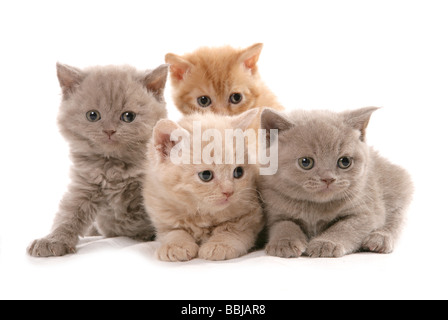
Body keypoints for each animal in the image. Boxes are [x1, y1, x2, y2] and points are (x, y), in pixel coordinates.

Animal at [27, 63, 169, 258]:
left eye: (128, 116)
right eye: (92, 115)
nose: (109, 130)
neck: (115, 166)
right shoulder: (85, 185)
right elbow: (69, 215)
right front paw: (53, 240)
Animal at [143, 109, 262, 260]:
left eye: (238, 172)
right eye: (206, 175)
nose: (229, 191)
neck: (201, 215)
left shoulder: (251, 216)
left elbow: (232, 230)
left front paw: (220, 244)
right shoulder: (163, 216)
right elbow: (173, 232)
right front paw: (175, 245)